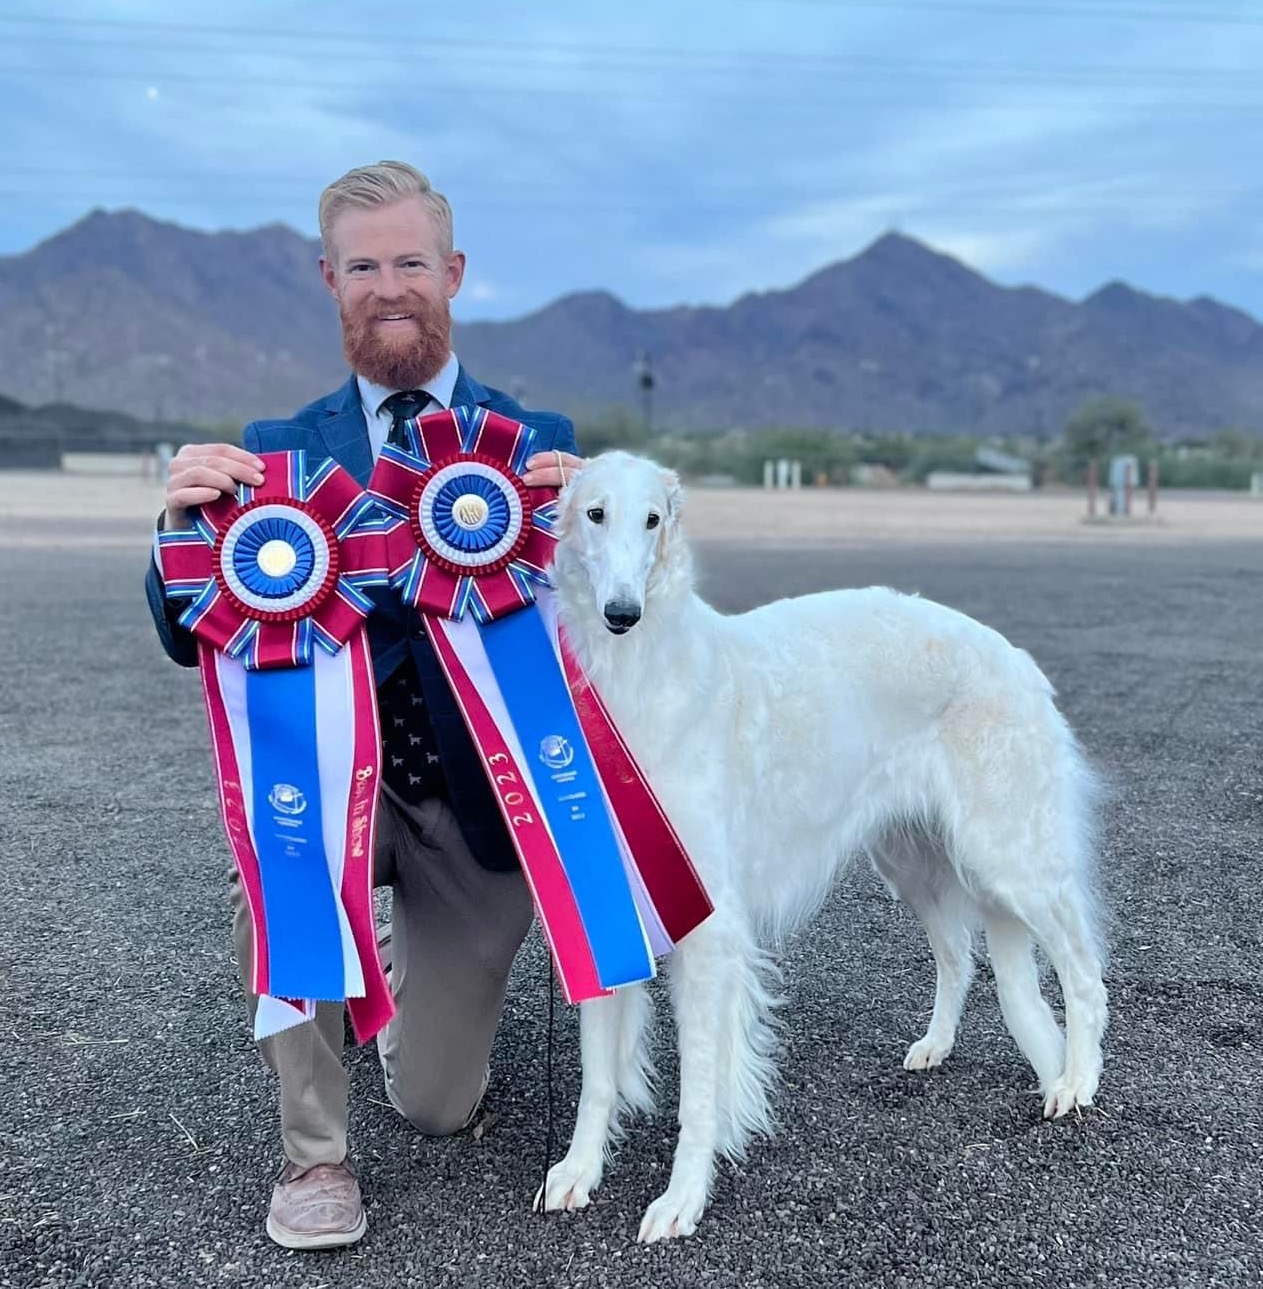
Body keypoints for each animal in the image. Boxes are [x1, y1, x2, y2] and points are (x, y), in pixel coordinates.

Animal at [538, 451, 1108, 1242]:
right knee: (959, 958)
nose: (622, 613)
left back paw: (1076, 1081)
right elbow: (596, 1078)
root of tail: (1014, 658)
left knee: (1082, 969)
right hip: (913, 860)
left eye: (653, 519)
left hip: (1007, 855)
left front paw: (681, 1198)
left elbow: (699, 1092)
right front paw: (576, 1172)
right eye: (595, 513)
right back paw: (936, 1046)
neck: (643, 680)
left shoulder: (708, 927)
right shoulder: (607, 912)